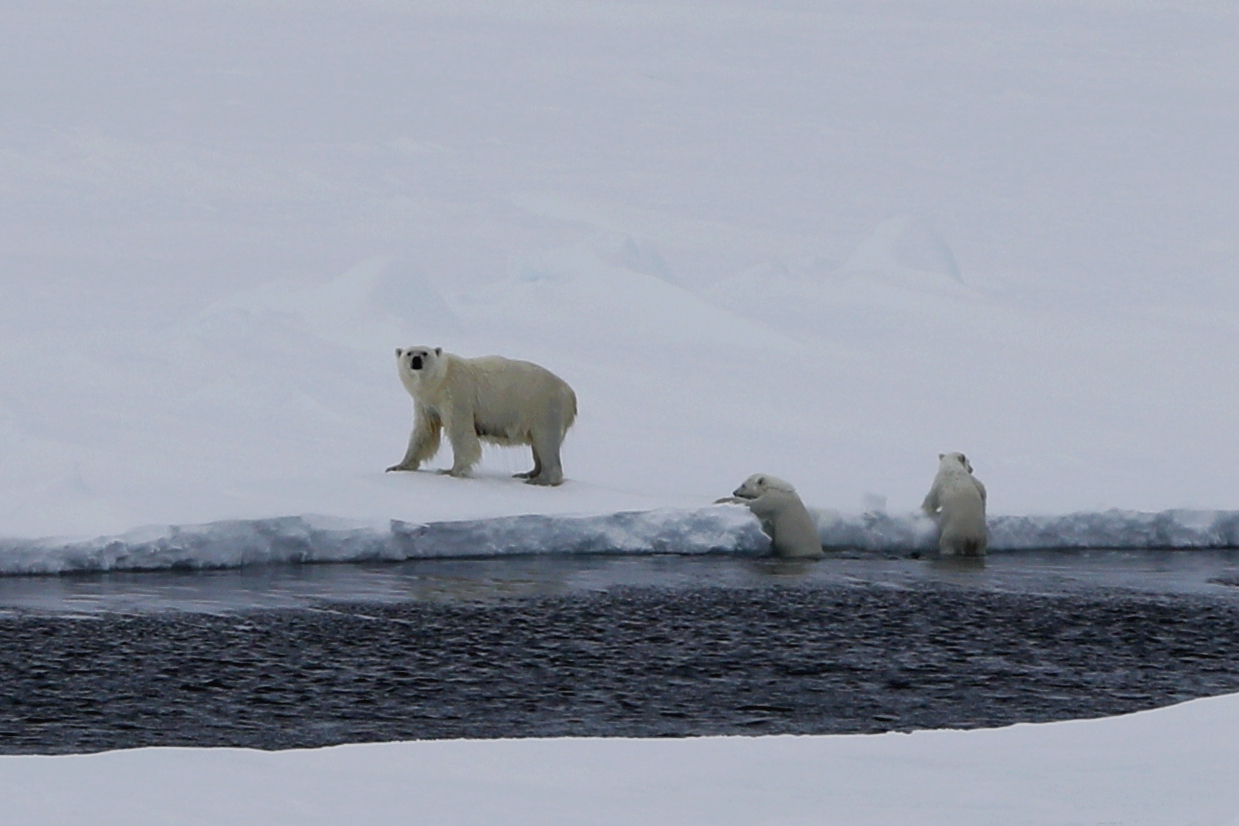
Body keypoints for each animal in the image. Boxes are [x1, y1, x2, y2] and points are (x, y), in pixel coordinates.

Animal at [386, 346, 574, 485]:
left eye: (425, 353)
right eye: (409, 353)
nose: (416, 360)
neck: (441, 381)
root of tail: (570, 393)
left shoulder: (457, 393)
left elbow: (461, 433)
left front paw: (451, 471)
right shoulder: (426, 404)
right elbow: (424, 434)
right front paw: (398, 466)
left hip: (543, 407)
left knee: (546, 440)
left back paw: (542, 479)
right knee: (538, 444)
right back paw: (528, 473)